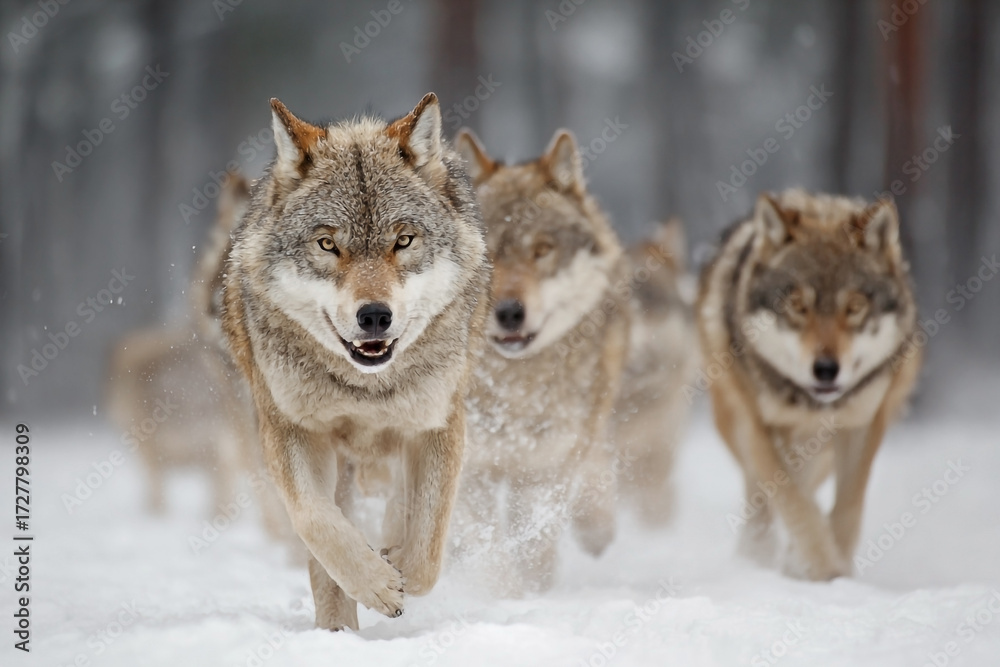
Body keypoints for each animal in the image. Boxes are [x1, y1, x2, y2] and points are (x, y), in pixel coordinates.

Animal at [221, 94, 490, 630]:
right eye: (329, 244)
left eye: (402, 241)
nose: (375, 316)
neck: (367, 387)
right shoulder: (292, 429)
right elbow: (315, 521)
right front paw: (375, 584)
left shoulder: (438, 423)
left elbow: (427, 546)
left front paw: (397, 564)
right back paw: (337, 630)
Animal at [450, 127, 629, 596]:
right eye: (489, 251)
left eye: (542, 250)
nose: (509, 313)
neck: (517, 390)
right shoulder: (469, 470)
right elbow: (490, 548)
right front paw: (506, 596)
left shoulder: (546, 468)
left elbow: (535, 542)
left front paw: (535, 591)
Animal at [697, 189, 921, 580]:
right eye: (798, 305)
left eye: (855, 307)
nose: (826, 370)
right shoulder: (760, 427)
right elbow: (794, 503)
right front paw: (820, 569)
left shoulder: (862, 425)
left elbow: (848, 505)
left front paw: (834, 570)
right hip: (736, 426)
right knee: (763, 496)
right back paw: (756, 556)